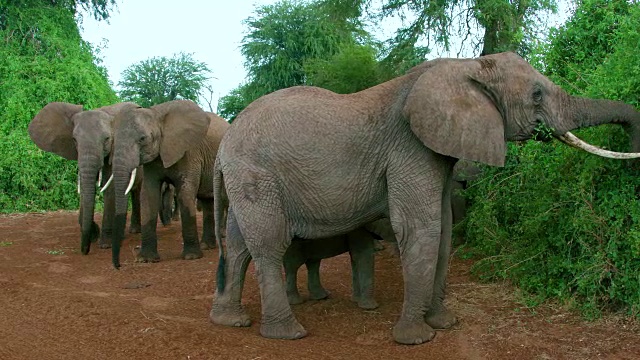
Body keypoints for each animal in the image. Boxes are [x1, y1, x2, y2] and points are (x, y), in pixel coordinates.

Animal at [27, 100, 142, 253]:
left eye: (107, 139)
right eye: (74, 140)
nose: (85, 250)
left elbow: (109, 188)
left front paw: (105, 244)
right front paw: (93, 234)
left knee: (136, 191)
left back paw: (134, 230)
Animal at [107, 99, 230, 268]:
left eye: (142, 139)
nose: (118, 266)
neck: (157, 115)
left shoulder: (189, 151)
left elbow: (185, 193)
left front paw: (191, 257)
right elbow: (148, 195)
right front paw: (146, 259)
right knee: (207, 200)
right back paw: (207, 246)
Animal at [211, 51, 640, 344]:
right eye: (536, 94)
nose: (631, 142)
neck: (466, 67)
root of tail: (223, 145)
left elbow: (445, 230)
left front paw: (443, 324)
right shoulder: (409, 148)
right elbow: (421, 228)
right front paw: (416, 338)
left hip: (245, 178)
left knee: (237, 244)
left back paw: (229, 321)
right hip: (257, 175)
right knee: (269, 244)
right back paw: (288, 333)